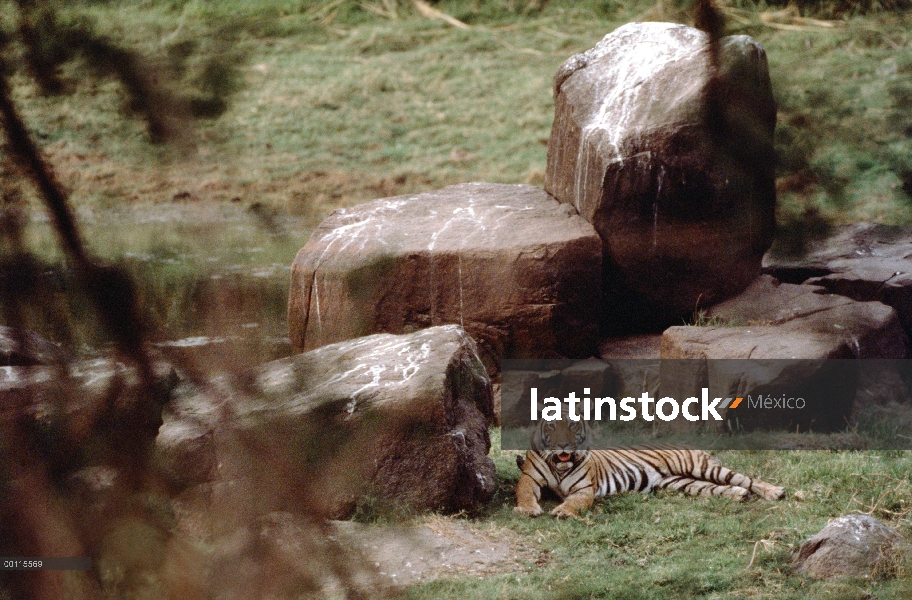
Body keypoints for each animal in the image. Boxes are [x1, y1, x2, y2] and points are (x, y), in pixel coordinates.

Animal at [512, 414, 784, 516]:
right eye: (551, 425)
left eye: (572, 424)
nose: (563, 445)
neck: (560, 466)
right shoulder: (529, 478)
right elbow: (524, 492)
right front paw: (527, 509)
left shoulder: (583, 490)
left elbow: (575, 502)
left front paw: (564, 511)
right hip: (681, 483)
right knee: (717, 488)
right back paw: (740, 496)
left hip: (702, 467)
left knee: (745, 478)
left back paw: (775, 492)